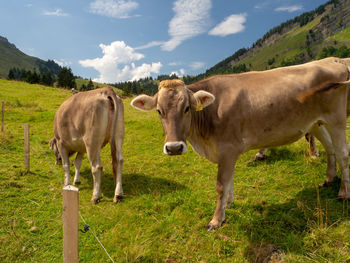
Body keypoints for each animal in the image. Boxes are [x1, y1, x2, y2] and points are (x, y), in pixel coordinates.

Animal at [131, 57, 350, 231]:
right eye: (159, 111)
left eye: (187, 108)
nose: (174, 148)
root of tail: (334, 61)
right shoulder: (228, 152)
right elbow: (230, 180)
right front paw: (228, 204)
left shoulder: (228, 148)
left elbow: (221, 184)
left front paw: (216, 220)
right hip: (314, 122)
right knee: (330, 148)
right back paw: (329, 179)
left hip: (337, 119)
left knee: (343, 154)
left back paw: (343, 193)